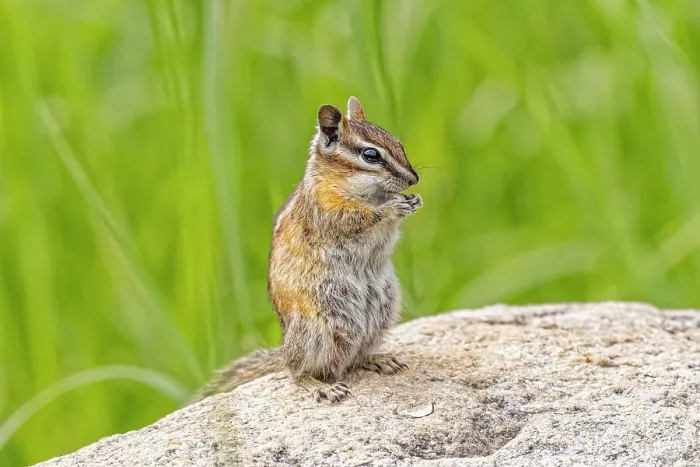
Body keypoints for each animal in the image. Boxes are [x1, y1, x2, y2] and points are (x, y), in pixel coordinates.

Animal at [190, 97, 422, 403]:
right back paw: (321, 386)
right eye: (371, 155)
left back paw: (379, 359)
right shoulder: (327, 209)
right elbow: (358, 218)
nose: (414, 179)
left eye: (397, 142)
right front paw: (392, 207)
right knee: (297, 372)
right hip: (315, 331)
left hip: (382, 315)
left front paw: (413, 201)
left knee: (355, 357)